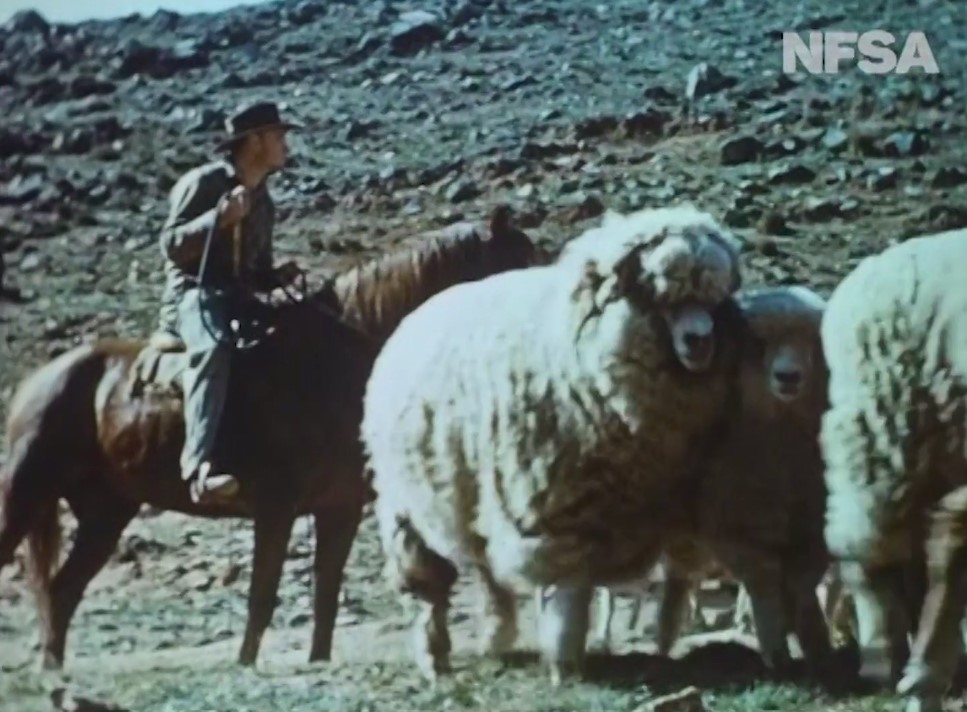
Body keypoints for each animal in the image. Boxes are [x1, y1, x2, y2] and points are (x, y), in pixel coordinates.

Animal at [361, 204, 744, 683]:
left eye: (714, 299)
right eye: (659, 296)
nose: (701, 341)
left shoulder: (683, 507)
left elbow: (677, 584)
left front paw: (666, 642)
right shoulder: (555, 515)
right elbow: (567, 596)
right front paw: (566, 665)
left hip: (473, 499)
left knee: (487, 573)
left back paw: (496, 638)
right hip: (407, 510)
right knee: (428, 587)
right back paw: (436, 655)